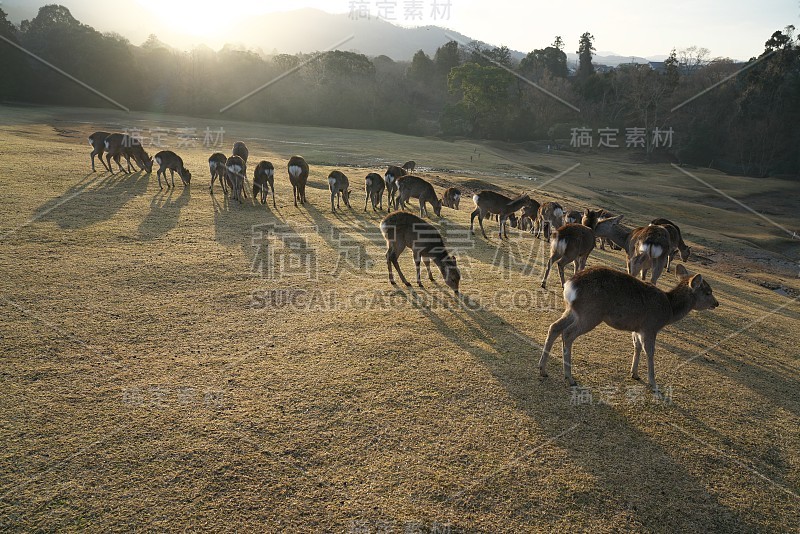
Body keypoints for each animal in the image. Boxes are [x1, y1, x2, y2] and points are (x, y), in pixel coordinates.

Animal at [540, 266, 720, 392]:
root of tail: (570, 285)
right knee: (568, 333)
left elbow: (637, 346)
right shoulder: (650, 326)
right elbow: (650, 351)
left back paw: (542, 369)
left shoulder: (637, 328)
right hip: (590, 314)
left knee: (554, 327)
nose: (717, 303)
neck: (669, 310)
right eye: (708, 291)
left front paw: (634, 373)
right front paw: (654, 384)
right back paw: (570, 378)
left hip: (572, 310)